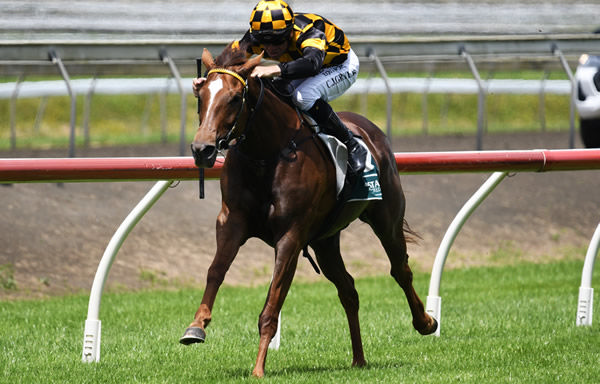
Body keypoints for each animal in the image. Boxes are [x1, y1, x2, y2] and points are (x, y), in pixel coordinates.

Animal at [179, 42, 436, 378]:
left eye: (235, 98)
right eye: (201, 95)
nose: (202, 149)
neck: (267, 153)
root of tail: (372, 131)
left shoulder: (291, 235)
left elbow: (272, 302)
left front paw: (258, 368)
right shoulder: (231, 222)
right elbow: (215, 271)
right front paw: (196, 326)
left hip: (387, 218)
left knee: (400, 270)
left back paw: (425, 322)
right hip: (325, 240)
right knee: (349, 290)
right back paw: (358, 358)